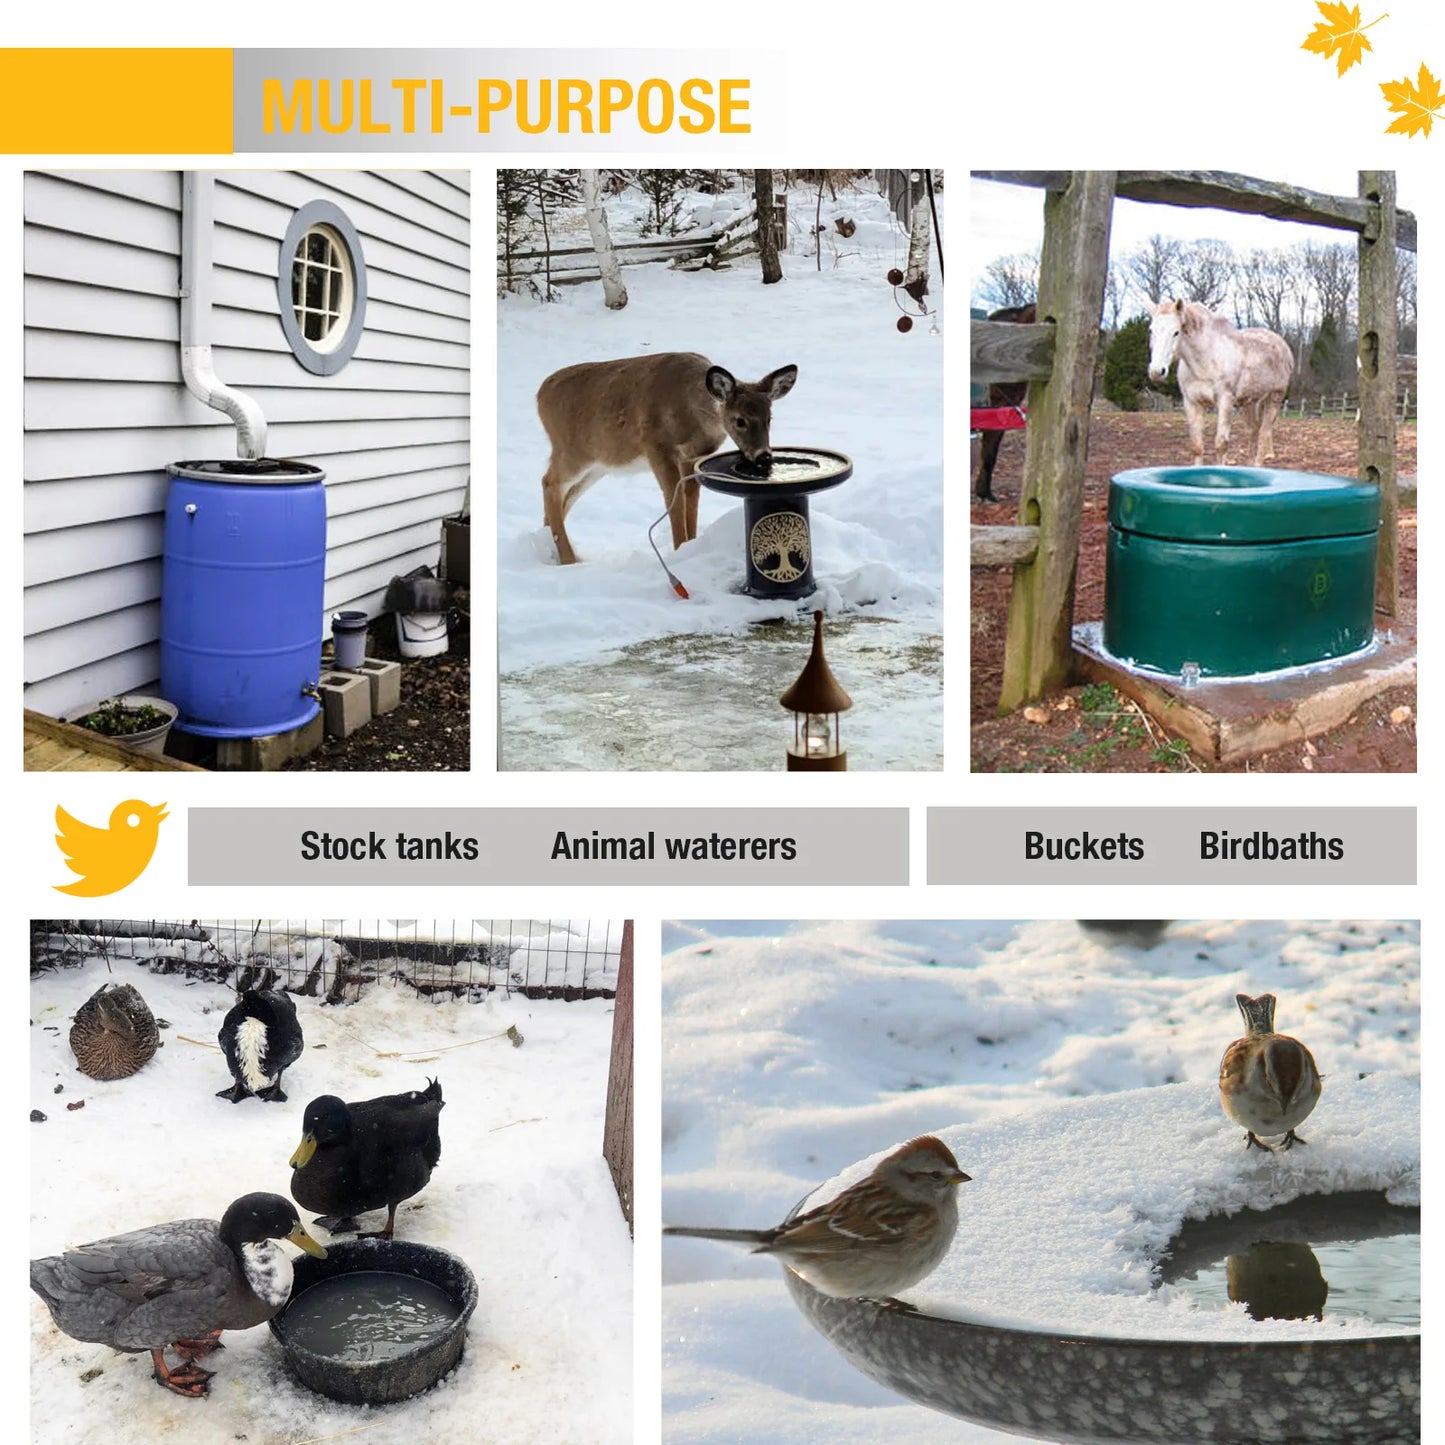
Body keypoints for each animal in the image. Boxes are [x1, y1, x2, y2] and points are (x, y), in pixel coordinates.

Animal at [1147, 300, 1294, 466]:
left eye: (1176, 332)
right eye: (1151, 330)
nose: (1157, 371)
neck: (1204, 361)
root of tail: (1284, 347)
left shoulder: (1225, 401)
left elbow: (1221, 445)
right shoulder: (1192, 403)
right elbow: (1197, 446)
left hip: (1274, 398)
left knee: (1264, 433)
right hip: (1250, 402)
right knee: (1253, 430)